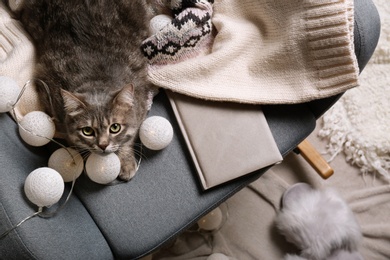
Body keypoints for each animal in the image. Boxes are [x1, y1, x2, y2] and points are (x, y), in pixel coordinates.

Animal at [14, 0, 154, 180]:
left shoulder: (141, 103)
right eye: (88, 131)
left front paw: (126, 160)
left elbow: (130, 135)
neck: (96, 78)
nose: (103, 145)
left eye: (115, 127)